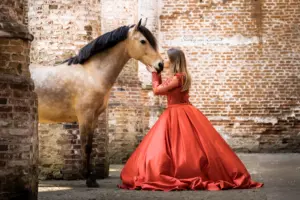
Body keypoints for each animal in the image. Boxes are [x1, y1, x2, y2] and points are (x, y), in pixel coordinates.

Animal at [29, 19, 163, 187]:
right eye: (143, 41)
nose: (160, 65)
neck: (92, 74)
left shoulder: (94, 117)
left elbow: (91, 145)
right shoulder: (85, 116)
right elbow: (85, 145)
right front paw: (89, 178)